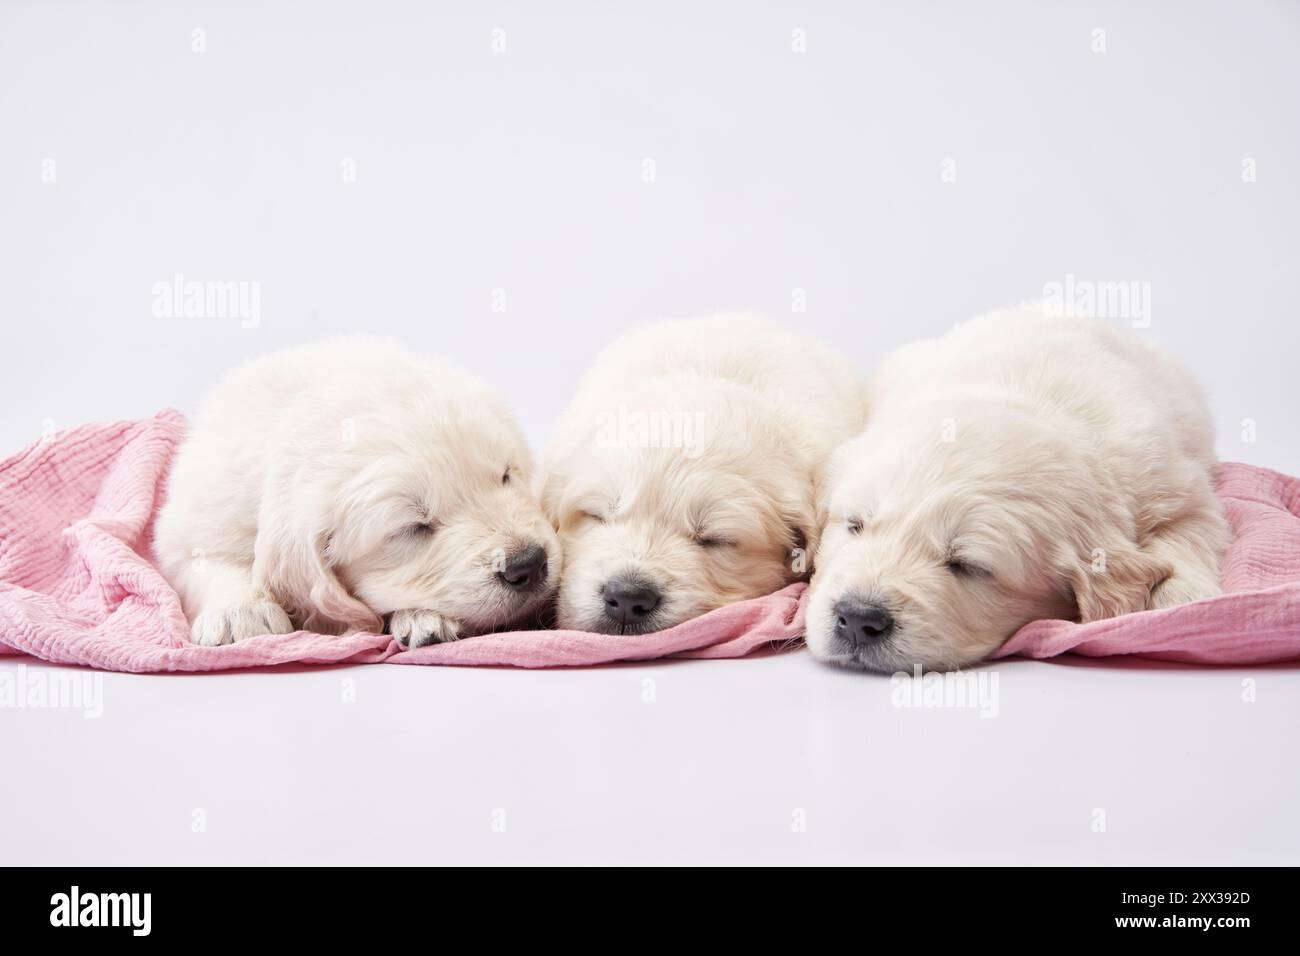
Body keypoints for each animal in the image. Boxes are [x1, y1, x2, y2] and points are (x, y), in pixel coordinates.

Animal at [153, 338, 559, 650]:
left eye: (505, 476)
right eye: (413, 528)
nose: (530, 563)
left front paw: (421, 616)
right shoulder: (196, 519)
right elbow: (206, 559)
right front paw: (241, 612)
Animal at [806, 304, 1232, 671]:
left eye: (967, 566)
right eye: (855, 526)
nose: (857, 619)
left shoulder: (1178, 485)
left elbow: (1188, 534)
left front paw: (1185, 599)